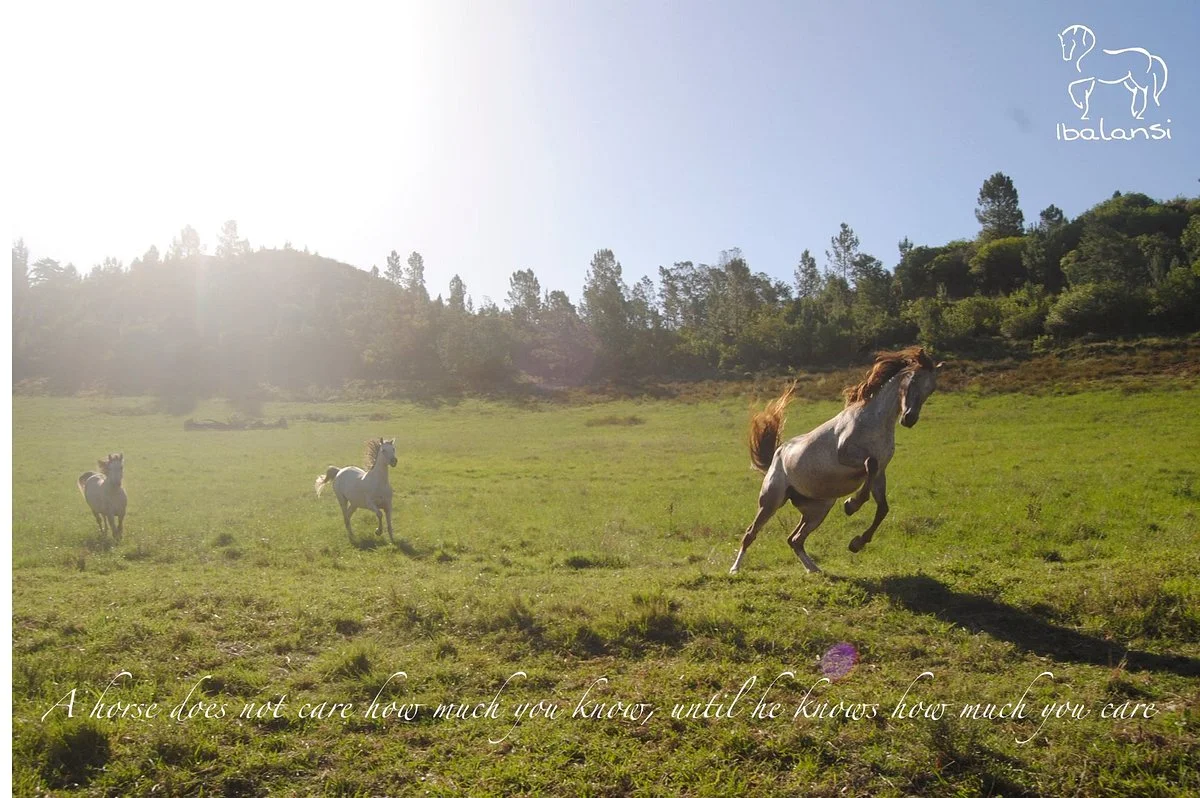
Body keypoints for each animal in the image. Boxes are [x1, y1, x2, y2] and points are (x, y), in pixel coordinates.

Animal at [729, 347, 943, 575]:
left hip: (818, 510)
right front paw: (852, 505)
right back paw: (735, 569)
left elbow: (883, 508)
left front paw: (856, 543)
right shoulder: (847, 454)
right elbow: (870, 465)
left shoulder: (880, 473)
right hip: (771, 501)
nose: (909, 418)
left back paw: (814, 568)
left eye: (931, 388)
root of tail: (776, 455)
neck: (873, 422)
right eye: (913, 380)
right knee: (750, 533)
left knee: (795, 539)